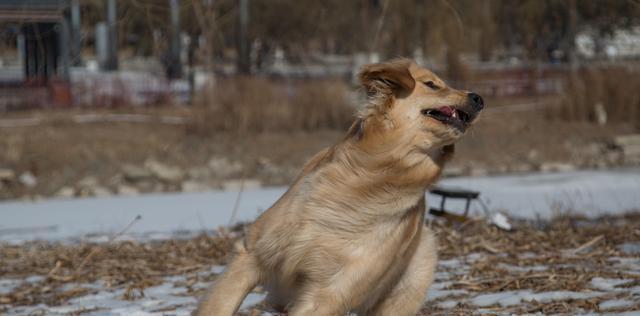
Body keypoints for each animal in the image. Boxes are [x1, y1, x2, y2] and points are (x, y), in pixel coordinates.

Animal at [198, 58, 482, 314]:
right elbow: (219, 306)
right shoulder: (251, 256)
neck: (370, 179)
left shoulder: (328, 295)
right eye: (432, 84)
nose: (479, 98)